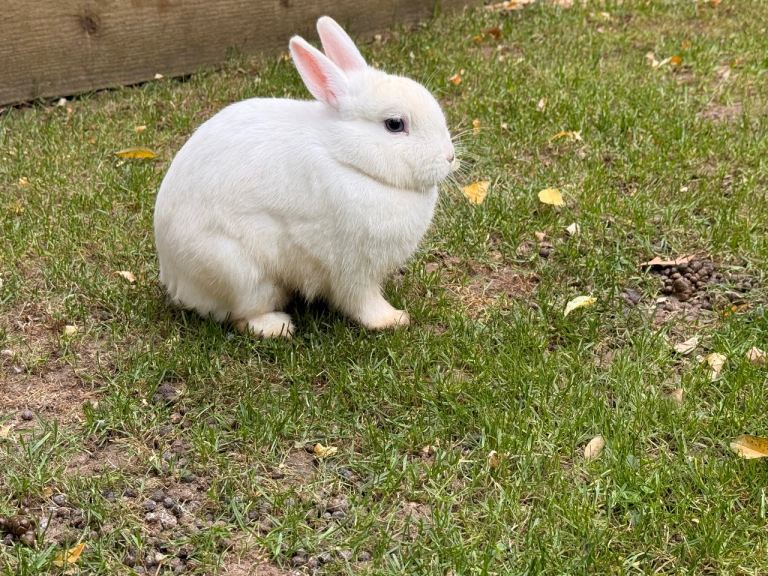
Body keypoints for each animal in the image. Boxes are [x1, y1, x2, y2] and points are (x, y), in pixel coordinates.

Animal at [154, 16, 456, 337]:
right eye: (395, 124)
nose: (449, 157)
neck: (347, 157)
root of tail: (174, 277)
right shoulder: (352, 270)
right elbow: (362, 301)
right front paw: (393, 319)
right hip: (242, 275)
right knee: (241, 316)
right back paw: (278, 326)